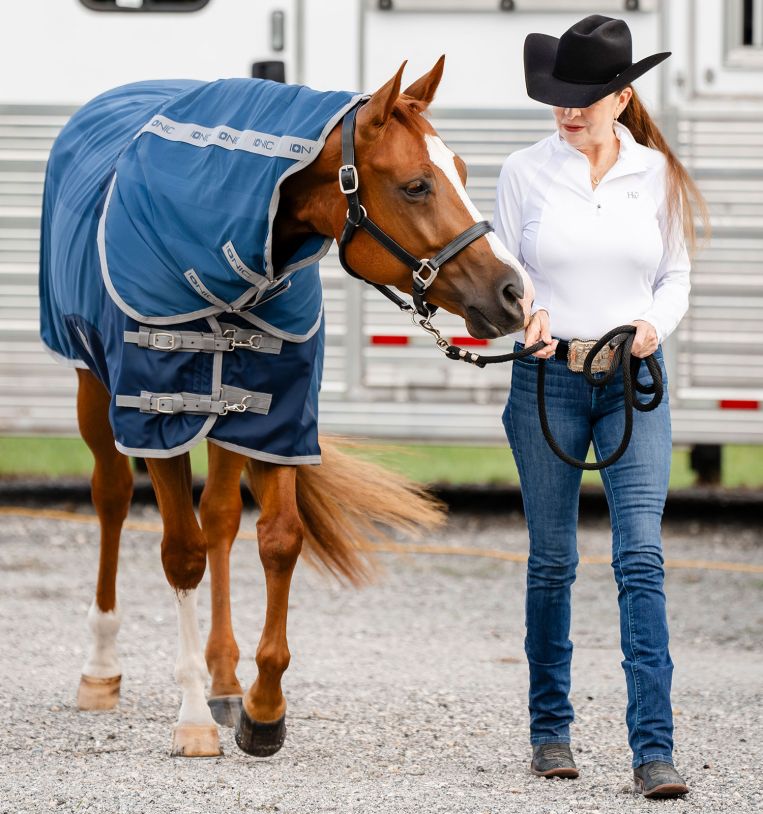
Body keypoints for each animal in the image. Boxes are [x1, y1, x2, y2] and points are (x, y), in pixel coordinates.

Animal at [40, 58, 534, 758]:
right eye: (416, 186)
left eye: (462, 171)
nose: (514, 291)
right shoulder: (154, 414)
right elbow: (181, 553)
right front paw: (192, 718)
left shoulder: (274, 417)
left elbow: (277, 540)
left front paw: (261, 706)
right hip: (93, 384)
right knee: (110, 495)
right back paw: (102, 667)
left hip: (226, 415)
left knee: (220, 517)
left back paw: (224, 679)